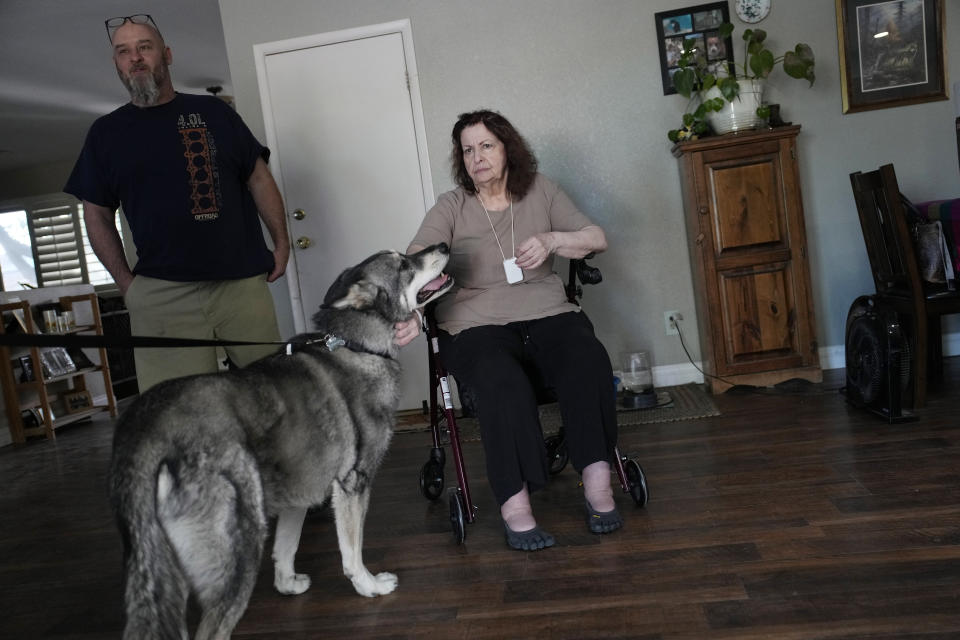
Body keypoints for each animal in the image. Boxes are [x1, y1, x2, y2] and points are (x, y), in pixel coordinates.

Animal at [110, 245, 456, 640]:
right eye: (402, 265)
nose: (444, 247)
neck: (357, 346)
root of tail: (145, 430)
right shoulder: (353, 484)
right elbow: (351, 549)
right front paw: (368, 586)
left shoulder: (300, 489)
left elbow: (287, 544)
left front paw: (287, 583)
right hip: (239, 549)